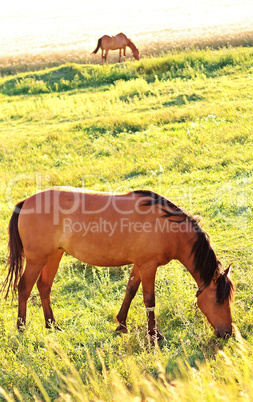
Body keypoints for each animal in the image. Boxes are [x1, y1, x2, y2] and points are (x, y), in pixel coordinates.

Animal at [3, 188, 235, 340]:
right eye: (217, 300)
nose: (227, 333)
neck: (167, 226)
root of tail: (25, 202)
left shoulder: (139, 265)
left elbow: (130, 291)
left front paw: (121, 325)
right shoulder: (148, 266)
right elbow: (149, 300)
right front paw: (154, 335)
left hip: (53, 256)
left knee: (44, 287)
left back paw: (52, 326)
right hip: (37, 259)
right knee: (24, 288)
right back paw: (22, 328)